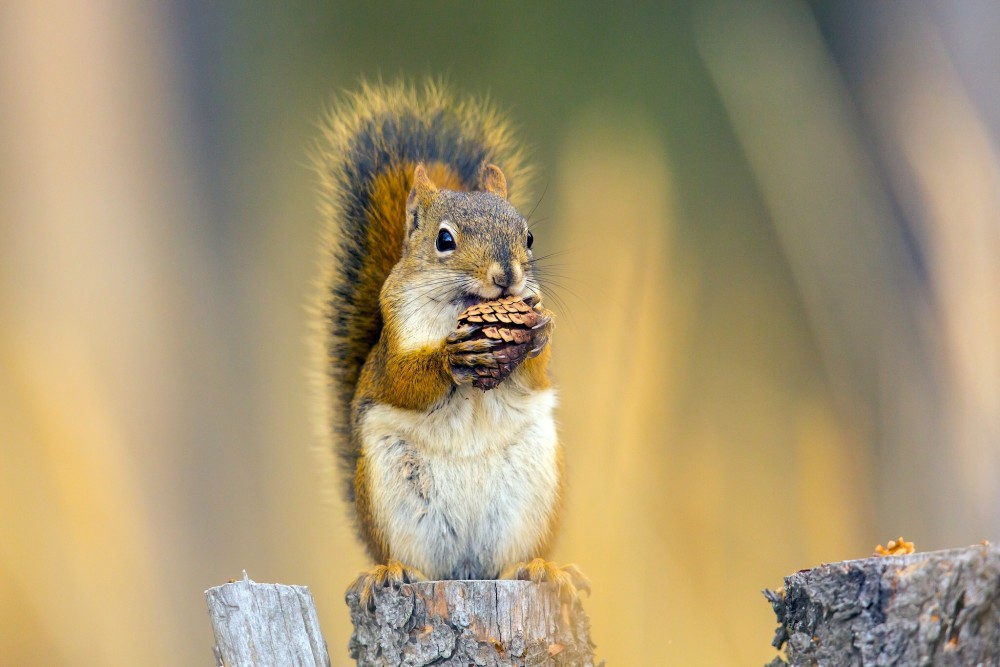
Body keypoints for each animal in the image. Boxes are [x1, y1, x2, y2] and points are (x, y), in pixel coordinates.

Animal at [312, 81, 584, 608]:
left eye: (529, 236)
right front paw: (449, 358)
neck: (461, 306)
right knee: (409, 558)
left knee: (512, 562)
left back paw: (541, 568)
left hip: (533, 491)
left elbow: (536, 371)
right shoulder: (392, 344)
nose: (507, 276)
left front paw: (540, 330)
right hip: (389, 497)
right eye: (444, 241)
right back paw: (391, 571)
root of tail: (465, 570)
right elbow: (403, 381)